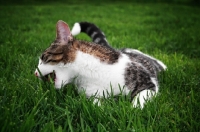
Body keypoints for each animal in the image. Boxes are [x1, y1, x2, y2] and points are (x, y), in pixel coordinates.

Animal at [34, 19, 166, 108]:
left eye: (43, 57)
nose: (35, 73)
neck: (89, 73)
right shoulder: (90, 93)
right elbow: (95, 104)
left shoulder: (148, 82)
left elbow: (140, 98)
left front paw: (134, 110)